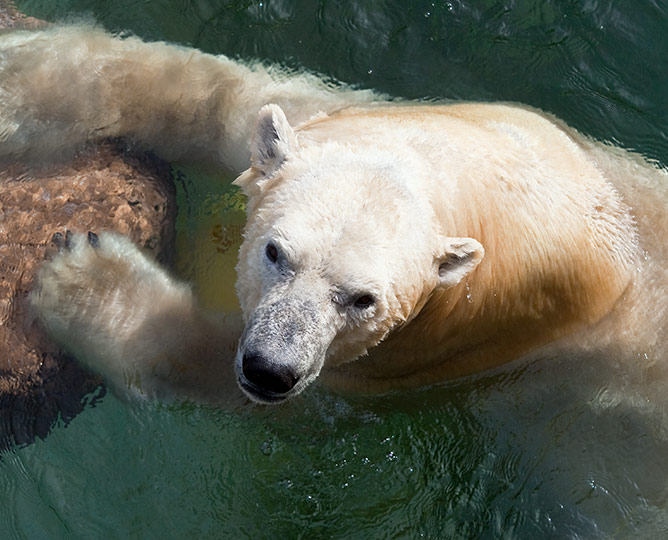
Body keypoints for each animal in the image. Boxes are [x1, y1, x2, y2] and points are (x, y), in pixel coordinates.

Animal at [5, 25, 668, 404]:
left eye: (363, 300)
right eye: (274, 251)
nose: (271, 370)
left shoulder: (461, 336)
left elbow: (218, 365)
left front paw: (87, 282)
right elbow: (240, 103)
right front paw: (23, 82)